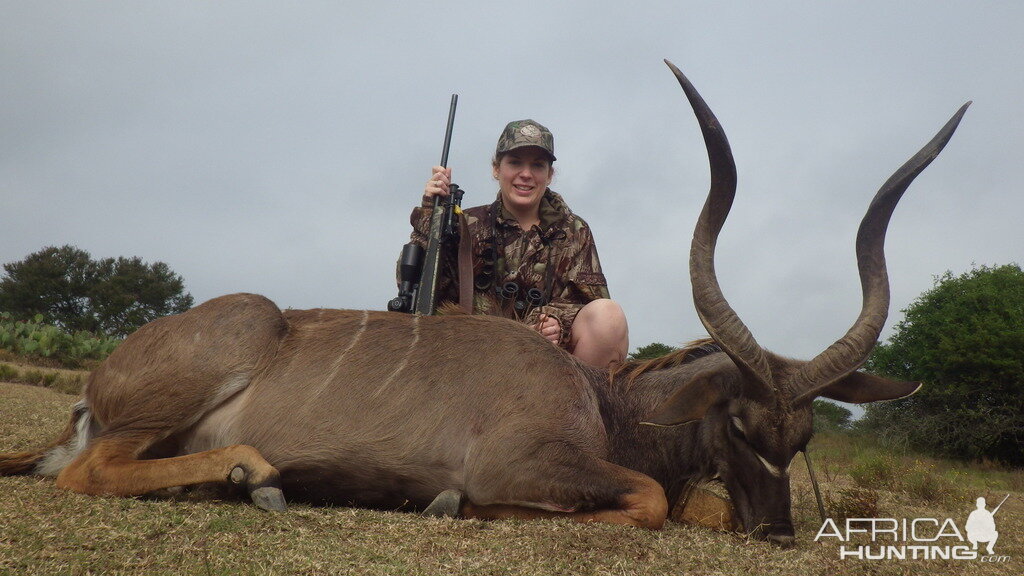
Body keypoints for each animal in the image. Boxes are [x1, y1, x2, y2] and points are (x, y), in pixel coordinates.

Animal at [0, 60, 962, 545]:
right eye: (738, 423)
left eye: (800, 439)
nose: (778, 534)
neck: (603, 405)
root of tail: (93, 393)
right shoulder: (520, 464)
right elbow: (647, 500)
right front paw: (451, 505)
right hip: (203, 365)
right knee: (90, 472)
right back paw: (254, 475)